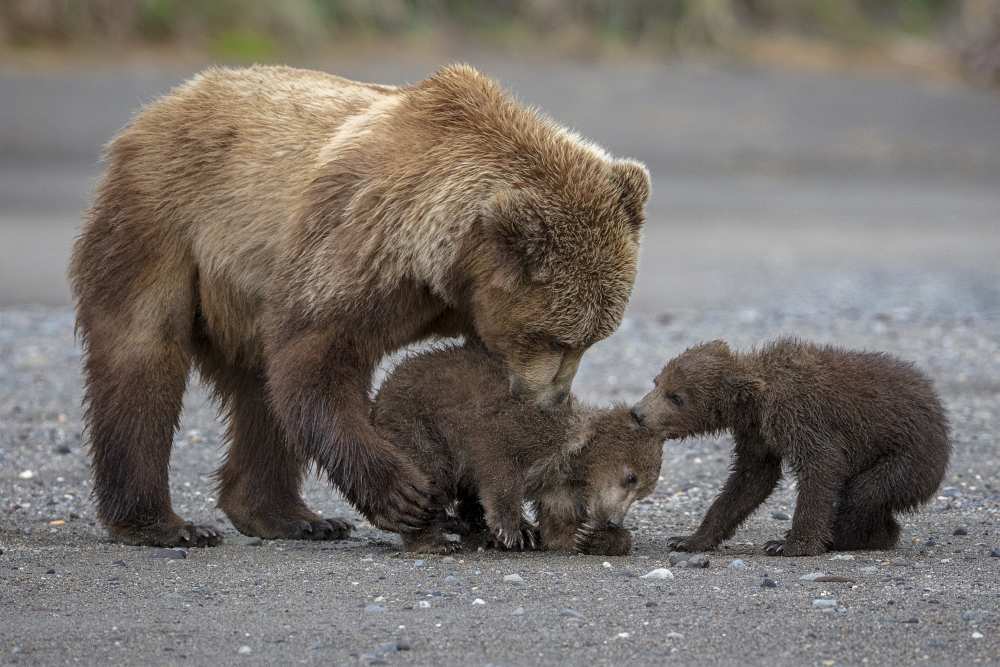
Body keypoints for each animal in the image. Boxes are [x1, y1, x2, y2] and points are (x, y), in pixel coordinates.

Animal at [70, 62, 648, 544]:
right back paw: (163, 525)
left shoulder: (463, 305)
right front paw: (407, 496)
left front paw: (483, 510)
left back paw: (289, 516)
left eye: (594, 339)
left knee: (258, 390)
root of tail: (163, 104)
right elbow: (316, 362)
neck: (443, 265)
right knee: (142, 356)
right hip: (164, 220)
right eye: (557, 338)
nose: (553, 399)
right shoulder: (357, 243)